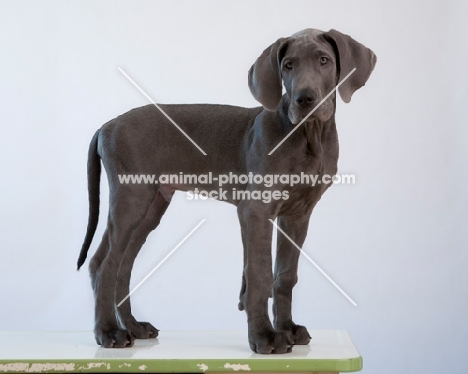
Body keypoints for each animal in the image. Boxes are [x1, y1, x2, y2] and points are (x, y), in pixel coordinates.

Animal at [77, 28, 376, 354]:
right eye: (288, 65)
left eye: (324, 60)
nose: (305, 98)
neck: (308, 136)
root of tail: (106, 126)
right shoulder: (256, 209)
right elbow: (259, 273)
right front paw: (265, 336)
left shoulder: (298, 215)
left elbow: (285, 275)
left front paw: (287, 329)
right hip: (131, 199)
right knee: (105, 265)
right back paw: (108, 332)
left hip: (151, 206)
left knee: (120, 265)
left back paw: (133, 326)